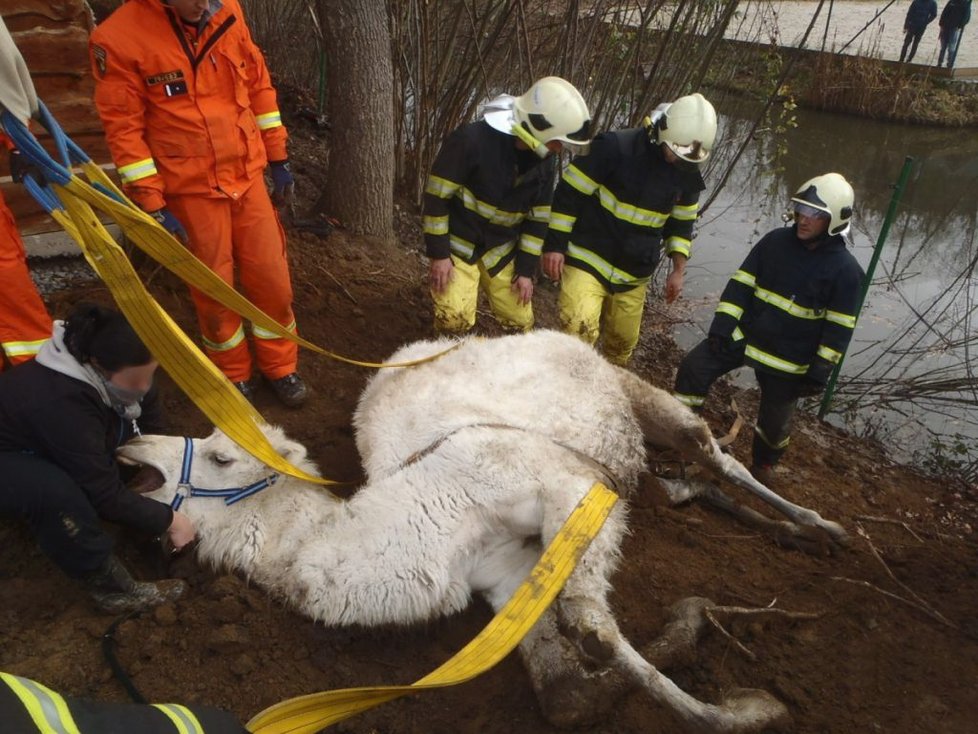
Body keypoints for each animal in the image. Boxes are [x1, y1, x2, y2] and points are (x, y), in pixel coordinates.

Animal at [118, 332, 844, 732]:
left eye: (220, 455)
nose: (131, 446)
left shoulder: (563, 481)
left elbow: (591, 624)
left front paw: (752, 703)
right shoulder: (503, 576)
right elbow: (565, 693)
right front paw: (701, 636)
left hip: (626, 385)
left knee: (709, 449)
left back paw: (824, 528)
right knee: (689, 476)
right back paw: (746, 517)